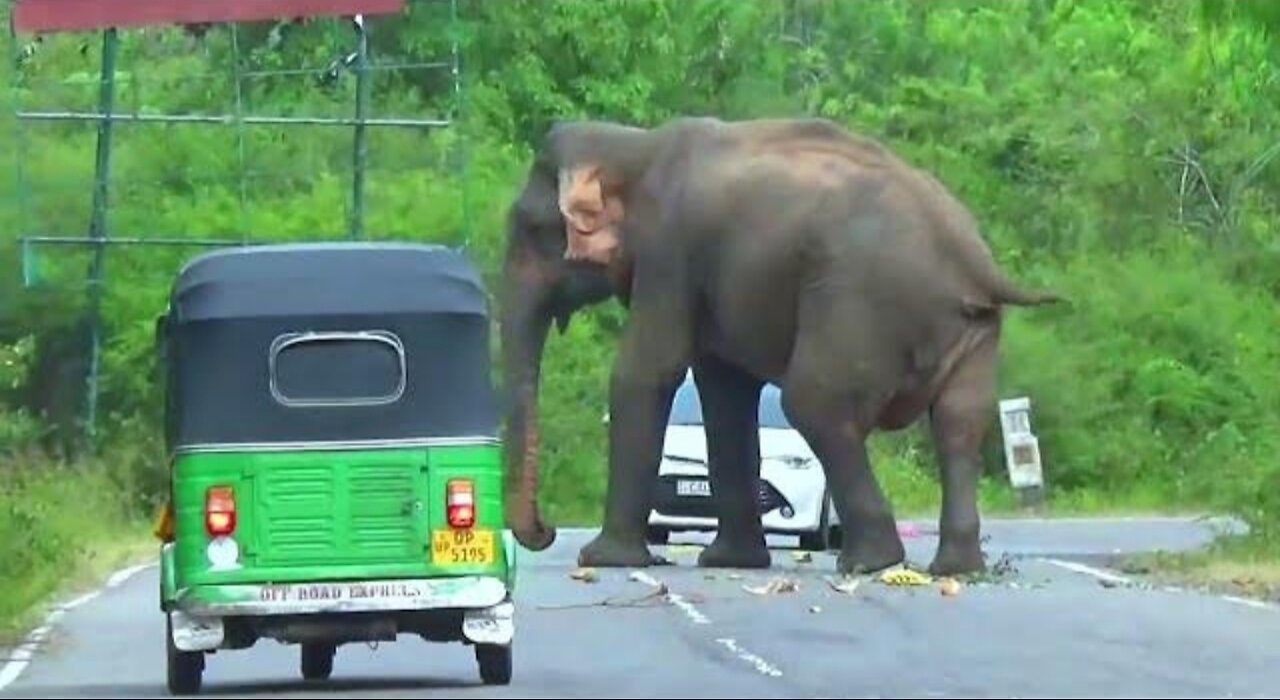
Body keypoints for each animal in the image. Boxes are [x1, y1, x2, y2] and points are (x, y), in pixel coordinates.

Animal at [498, 116, 1061, 577]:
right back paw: (954, 568)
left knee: (815, 403)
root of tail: (972, 255)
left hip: (856, 304)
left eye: (530, 229)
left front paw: (603, 559)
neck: (636, 145)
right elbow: (724, 391)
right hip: (973, 328)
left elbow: (647, 372)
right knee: (959, 421)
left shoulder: (670, 253)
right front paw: (729, 561)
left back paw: (869, 562)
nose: (545, 532)